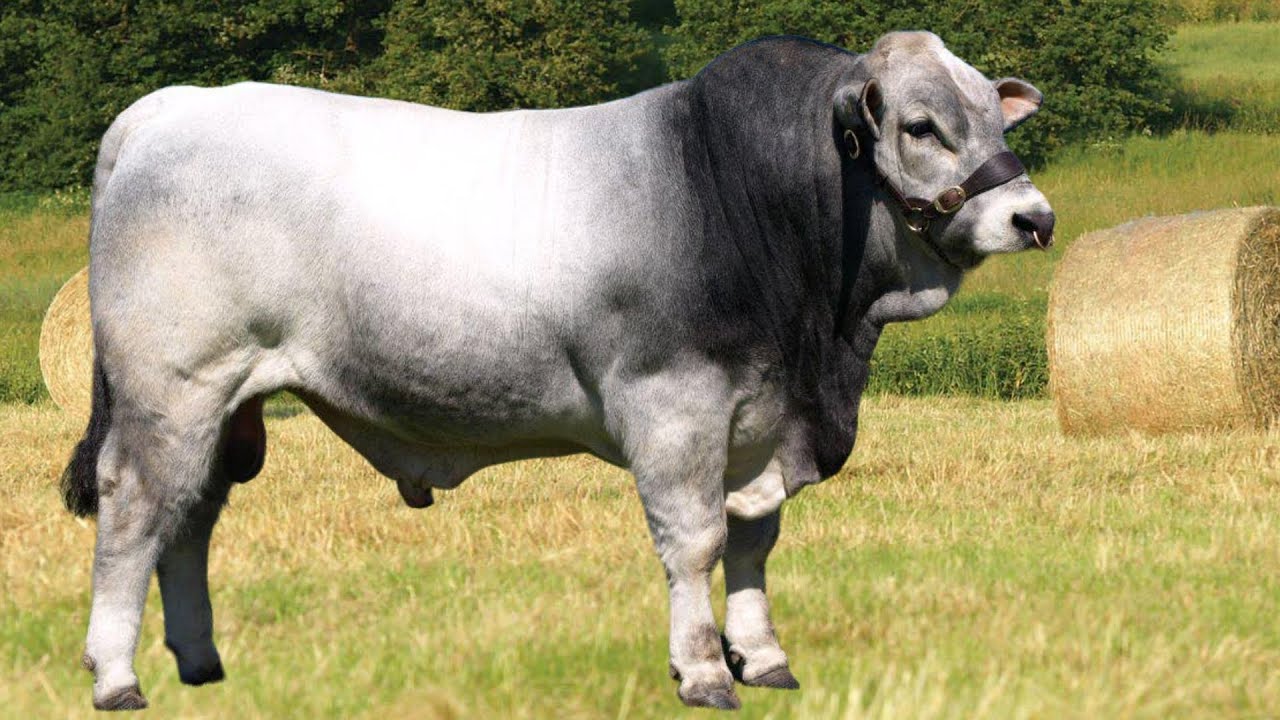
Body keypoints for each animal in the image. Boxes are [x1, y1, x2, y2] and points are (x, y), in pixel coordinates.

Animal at [61, 31, 1054, 711]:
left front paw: (764, 658)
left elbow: (752, 541)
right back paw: (115, 676)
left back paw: (200, 662)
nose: (1036, 218)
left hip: (223, 406)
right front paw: (703, 670)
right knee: (135, 514)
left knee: (192, 520)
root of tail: (169, 107)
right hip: (171, 391)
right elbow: (696, 542)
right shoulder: (674, 408)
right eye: (920, 125)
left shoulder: (761, 424)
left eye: (993, 112)